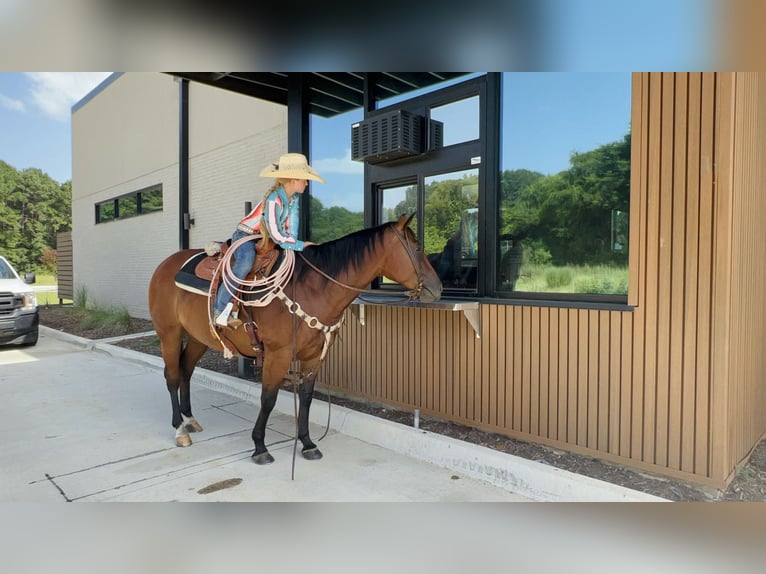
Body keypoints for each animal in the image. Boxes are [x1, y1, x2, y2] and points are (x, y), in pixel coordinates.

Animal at [148, 214, 444, 466]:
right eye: (417, 248)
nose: (439, 288)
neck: (311, 288)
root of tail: (165, 264)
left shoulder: (314, 356)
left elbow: (306, 398)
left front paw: (308, 443)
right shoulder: (277, 355)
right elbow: (268, 399)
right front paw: (260, 447)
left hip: (199, 337)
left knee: (186, 371)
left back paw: (190, 419)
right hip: (169, 333)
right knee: (172, 376)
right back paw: (180, 430)